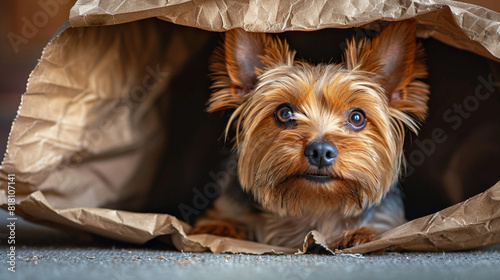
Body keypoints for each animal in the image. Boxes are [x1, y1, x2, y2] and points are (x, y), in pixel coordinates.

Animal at [191, 20, 430, 250]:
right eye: (284, 113)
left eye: (357, 117)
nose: (320, 151)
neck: (316, 206)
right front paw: (219, 229)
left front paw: (360, 235)